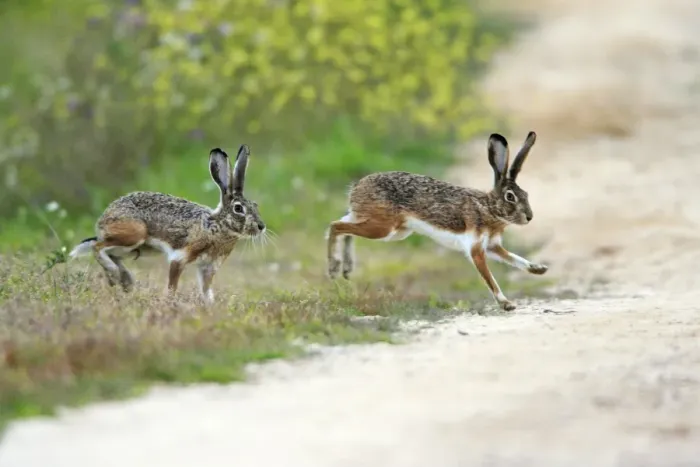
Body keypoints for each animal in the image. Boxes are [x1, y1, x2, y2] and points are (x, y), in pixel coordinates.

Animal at [68, 144, 266, 304]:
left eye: (255, 205)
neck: (216, 226)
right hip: (135, 234)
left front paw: (210, 307)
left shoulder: (208, 267)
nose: (261, 227)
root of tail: (104, 218)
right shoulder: (180, 257)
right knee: (97, 246)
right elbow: (173, 286)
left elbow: (206, 291)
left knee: (109, 252)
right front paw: (170, 303)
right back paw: (116, 275)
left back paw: (125, 281)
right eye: (238, 208)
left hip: (139, 248)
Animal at [326, 131, 547, 311]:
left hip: (391, 229)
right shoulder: (476, 248)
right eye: (510, 197)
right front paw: (506, 303)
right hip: (384, 228)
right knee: (336, 226)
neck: (489, 208)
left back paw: (346, 268)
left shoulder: (492, 246)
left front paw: (538, 269)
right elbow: (489, 278)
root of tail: (356, 188)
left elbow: (514, 258)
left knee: (343, 225)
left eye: (526, 194)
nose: (529, 217)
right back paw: (334, 268)